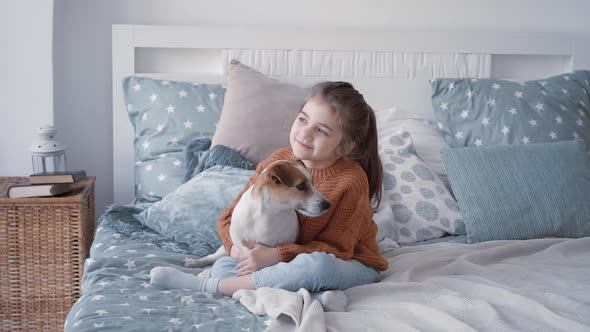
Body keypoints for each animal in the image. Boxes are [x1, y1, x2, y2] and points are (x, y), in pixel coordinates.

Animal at [185, 160, 330, 268]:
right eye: (301, 186)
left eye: (312, 183)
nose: (327, 204)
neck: (269, 214)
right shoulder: (238, 239)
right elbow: (243, 250)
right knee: (213, 256)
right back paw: (197, 263)